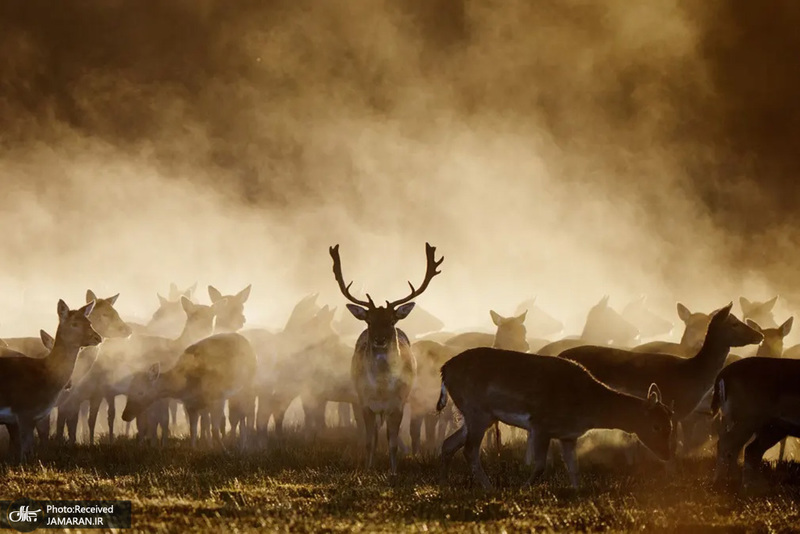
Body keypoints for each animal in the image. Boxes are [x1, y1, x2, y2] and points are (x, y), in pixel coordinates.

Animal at [122, 332, 256, 450]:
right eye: (129, 391)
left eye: (140, 392)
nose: (125, 415)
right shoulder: (190, 404)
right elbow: (193, 429)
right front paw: (194, 448)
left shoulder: (217, 397)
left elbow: (215, 428)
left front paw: (224, 450)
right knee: (239, 415)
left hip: (247, 385)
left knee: (245, 413)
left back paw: (244, 445)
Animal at [330, 242, 444, 474]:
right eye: (369, 321)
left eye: (391, 321)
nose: (380, 339)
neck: (382, 389)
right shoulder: (365, 403)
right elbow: (369, 441)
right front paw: (367, 469)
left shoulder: (398, 404)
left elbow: (392, 442)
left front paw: (394, 471)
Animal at [438, 350, 676, 492]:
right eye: (657, 426)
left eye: (670, 425)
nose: (667, 454)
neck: (586, 406)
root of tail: (444, 370)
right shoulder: (541, 424)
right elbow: (540, 465)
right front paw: (523, 489)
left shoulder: (568, 435)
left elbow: (573, 466)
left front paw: (578, 492)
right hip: (477, 410)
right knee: (469, 450)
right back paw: (490, 489)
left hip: (477, 415)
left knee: (448, 443)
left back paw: (444, 484)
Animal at [712, 358, 800, 492]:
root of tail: (722, 375)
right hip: (748, 419)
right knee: (726, 444)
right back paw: (720, 483)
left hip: (770, 427)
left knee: (748, 449)